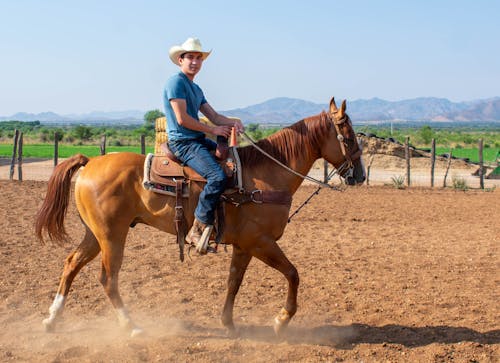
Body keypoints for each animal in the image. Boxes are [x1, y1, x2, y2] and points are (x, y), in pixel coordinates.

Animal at [34, 97, 364, 338]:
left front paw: (228, 323)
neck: (265, 177)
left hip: (96, 234)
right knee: (108, 279)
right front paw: (281, 320)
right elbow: (293, 274)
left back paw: (52, 320)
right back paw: (131, 327)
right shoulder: (260, 242)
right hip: (112, 236)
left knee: (71, 264)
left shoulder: (244, 246)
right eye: (348, 138)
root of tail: (90, 162)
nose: (360, 175)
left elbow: (233, 282)